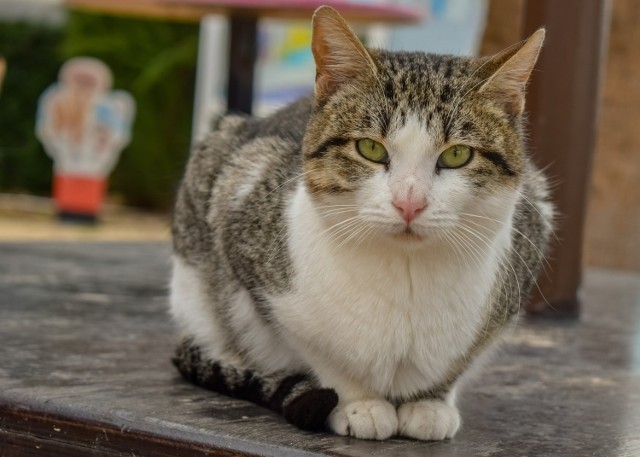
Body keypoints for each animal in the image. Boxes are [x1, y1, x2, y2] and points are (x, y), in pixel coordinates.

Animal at [171, 6, 556, 442]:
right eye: (370, 148)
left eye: (457, 154)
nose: (409, 202)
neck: (406, 277)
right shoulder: (244, 218)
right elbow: (317, 351)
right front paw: (359, 403)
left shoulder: (531, 229)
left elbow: (458, 362)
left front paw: (429, 402)